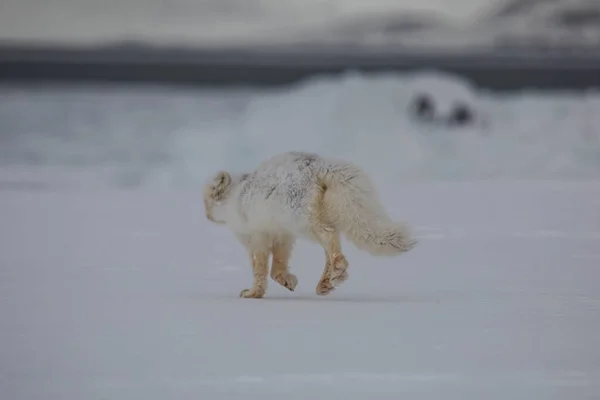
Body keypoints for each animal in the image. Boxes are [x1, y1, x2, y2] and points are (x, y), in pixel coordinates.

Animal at [204, 152, 414, 298]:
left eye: (206, 201)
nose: (206, 217)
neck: (234, 196)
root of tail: (320, 165)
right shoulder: (282, 235)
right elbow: (277, 268)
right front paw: (288, 281)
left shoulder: (256, 238)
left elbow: (260, 270)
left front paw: (253, 293)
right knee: (331, 247)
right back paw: (327, 282)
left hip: (303, 222)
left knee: (330, 239)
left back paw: (336, 271)